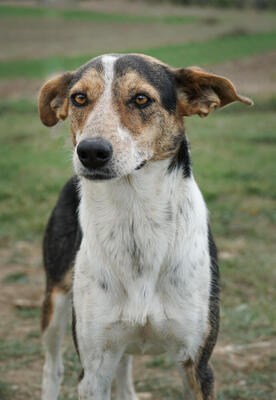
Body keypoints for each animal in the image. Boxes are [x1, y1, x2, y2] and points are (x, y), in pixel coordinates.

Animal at [37, 54, 252, 400]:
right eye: (79, 98)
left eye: (141, 99)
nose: (90, 152)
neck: (135, 218)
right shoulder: (92, 370)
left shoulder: (198, 363)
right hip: (55, 299)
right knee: (53, 365)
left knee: (123, 366)